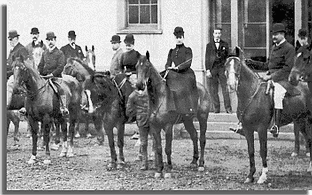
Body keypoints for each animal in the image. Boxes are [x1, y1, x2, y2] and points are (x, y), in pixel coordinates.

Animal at [224, 46, 312, 184]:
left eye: (238, 66)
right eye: (225, 65)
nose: (231, 85)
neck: (251, 95)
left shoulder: (261, 129)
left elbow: (263, 150)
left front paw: (263, 176)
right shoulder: (248, 129)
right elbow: (251, 151)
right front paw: (250, 176)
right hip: (301, 121)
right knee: (308, 140)